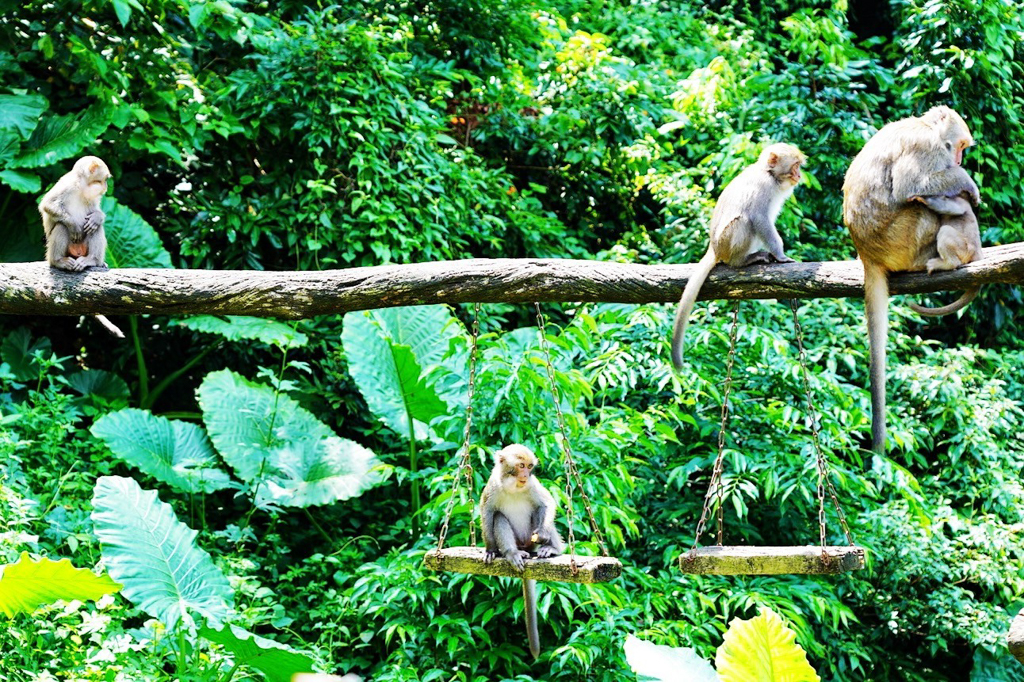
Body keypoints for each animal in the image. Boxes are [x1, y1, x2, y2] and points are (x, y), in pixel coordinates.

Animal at [37, 153, 123, 333]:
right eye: (104, 179)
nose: (106, 187)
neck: (82, 187)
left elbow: (95, 213)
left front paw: (98, 217)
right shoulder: (66, 185)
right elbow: (48, 204)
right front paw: (73, 224)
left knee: (95, 228)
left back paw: (93, 261)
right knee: (61, 226)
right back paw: (58, 261)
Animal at [477, 444, 565, 655]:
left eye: (530, 466)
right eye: (521, 465)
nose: (525, 474)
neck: (513, 486)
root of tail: (526, 546)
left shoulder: (532, 484)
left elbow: (547, 503)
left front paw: (544, 535)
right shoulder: (492, 487)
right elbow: (487, 513)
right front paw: (490, 550)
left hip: (530, 540)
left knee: (539, 511)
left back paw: (551, 549)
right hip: (518, 542)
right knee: (499, 517)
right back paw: (512, 554)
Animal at [671, 140, 806, 368]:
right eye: (795, 165)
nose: (799, 174)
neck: (769, 174)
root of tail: (714, 248)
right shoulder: (763, 187)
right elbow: (760, 219)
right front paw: (781, 255)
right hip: (727, 242)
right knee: (745, 221)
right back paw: (743, 261)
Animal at [839, 104, 983, 450]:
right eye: (960, 146)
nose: (959, 161)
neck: (925, 127)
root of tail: (867, 253)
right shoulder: (924, 145)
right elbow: (910, 186)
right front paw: (967, 183)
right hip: (901, 240)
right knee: (922, 205)